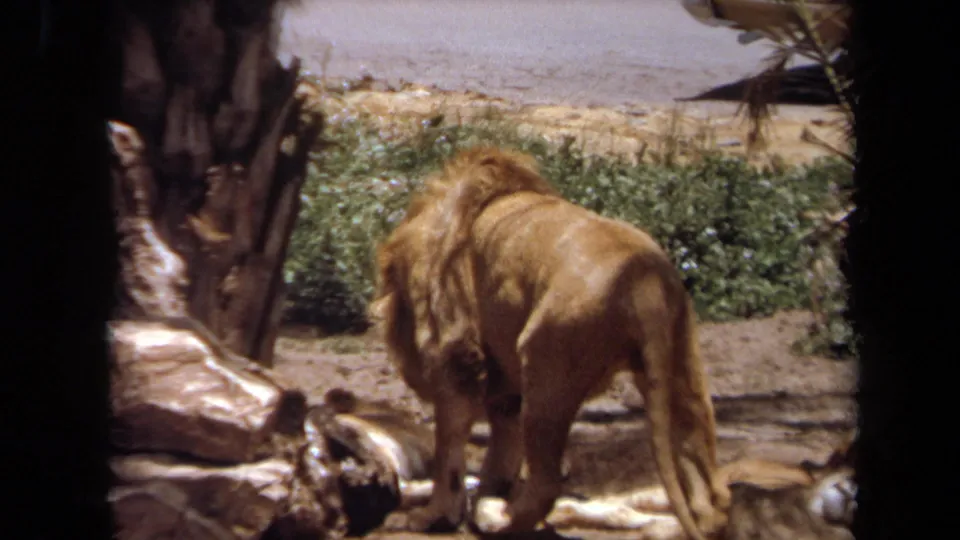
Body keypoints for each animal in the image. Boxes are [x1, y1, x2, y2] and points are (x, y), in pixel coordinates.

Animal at [368, 146, 728, 539]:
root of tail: (643, 282)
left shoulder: (456, 361)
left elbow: (449, 454)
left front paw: (434, 516)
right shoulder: (503, 385)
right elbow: (501, 453)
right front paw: (483, 499)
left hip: (547, 369)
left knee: (547, 484)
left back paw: (505, 521)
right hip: (680, 367)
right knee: (707, 487)